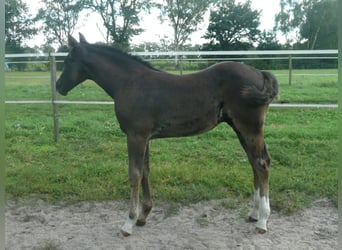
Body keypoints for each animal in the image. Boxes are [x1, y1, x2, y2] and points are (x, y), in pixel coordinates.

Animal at [57, 33, 280, 236]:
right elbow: (145, 171)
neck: (129, 83)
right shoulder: (145, 137)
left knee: (262, 163)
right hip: (239, 127)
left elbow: (134, 174)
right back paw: (253, 213)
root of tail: (259, 73)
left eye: (68, 61)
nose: (59, 86)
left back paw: (262, 221)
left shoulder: (135, 136)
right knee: (253, 162)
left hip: (249, 127)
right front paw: (143, 215)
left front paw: (129, 222)